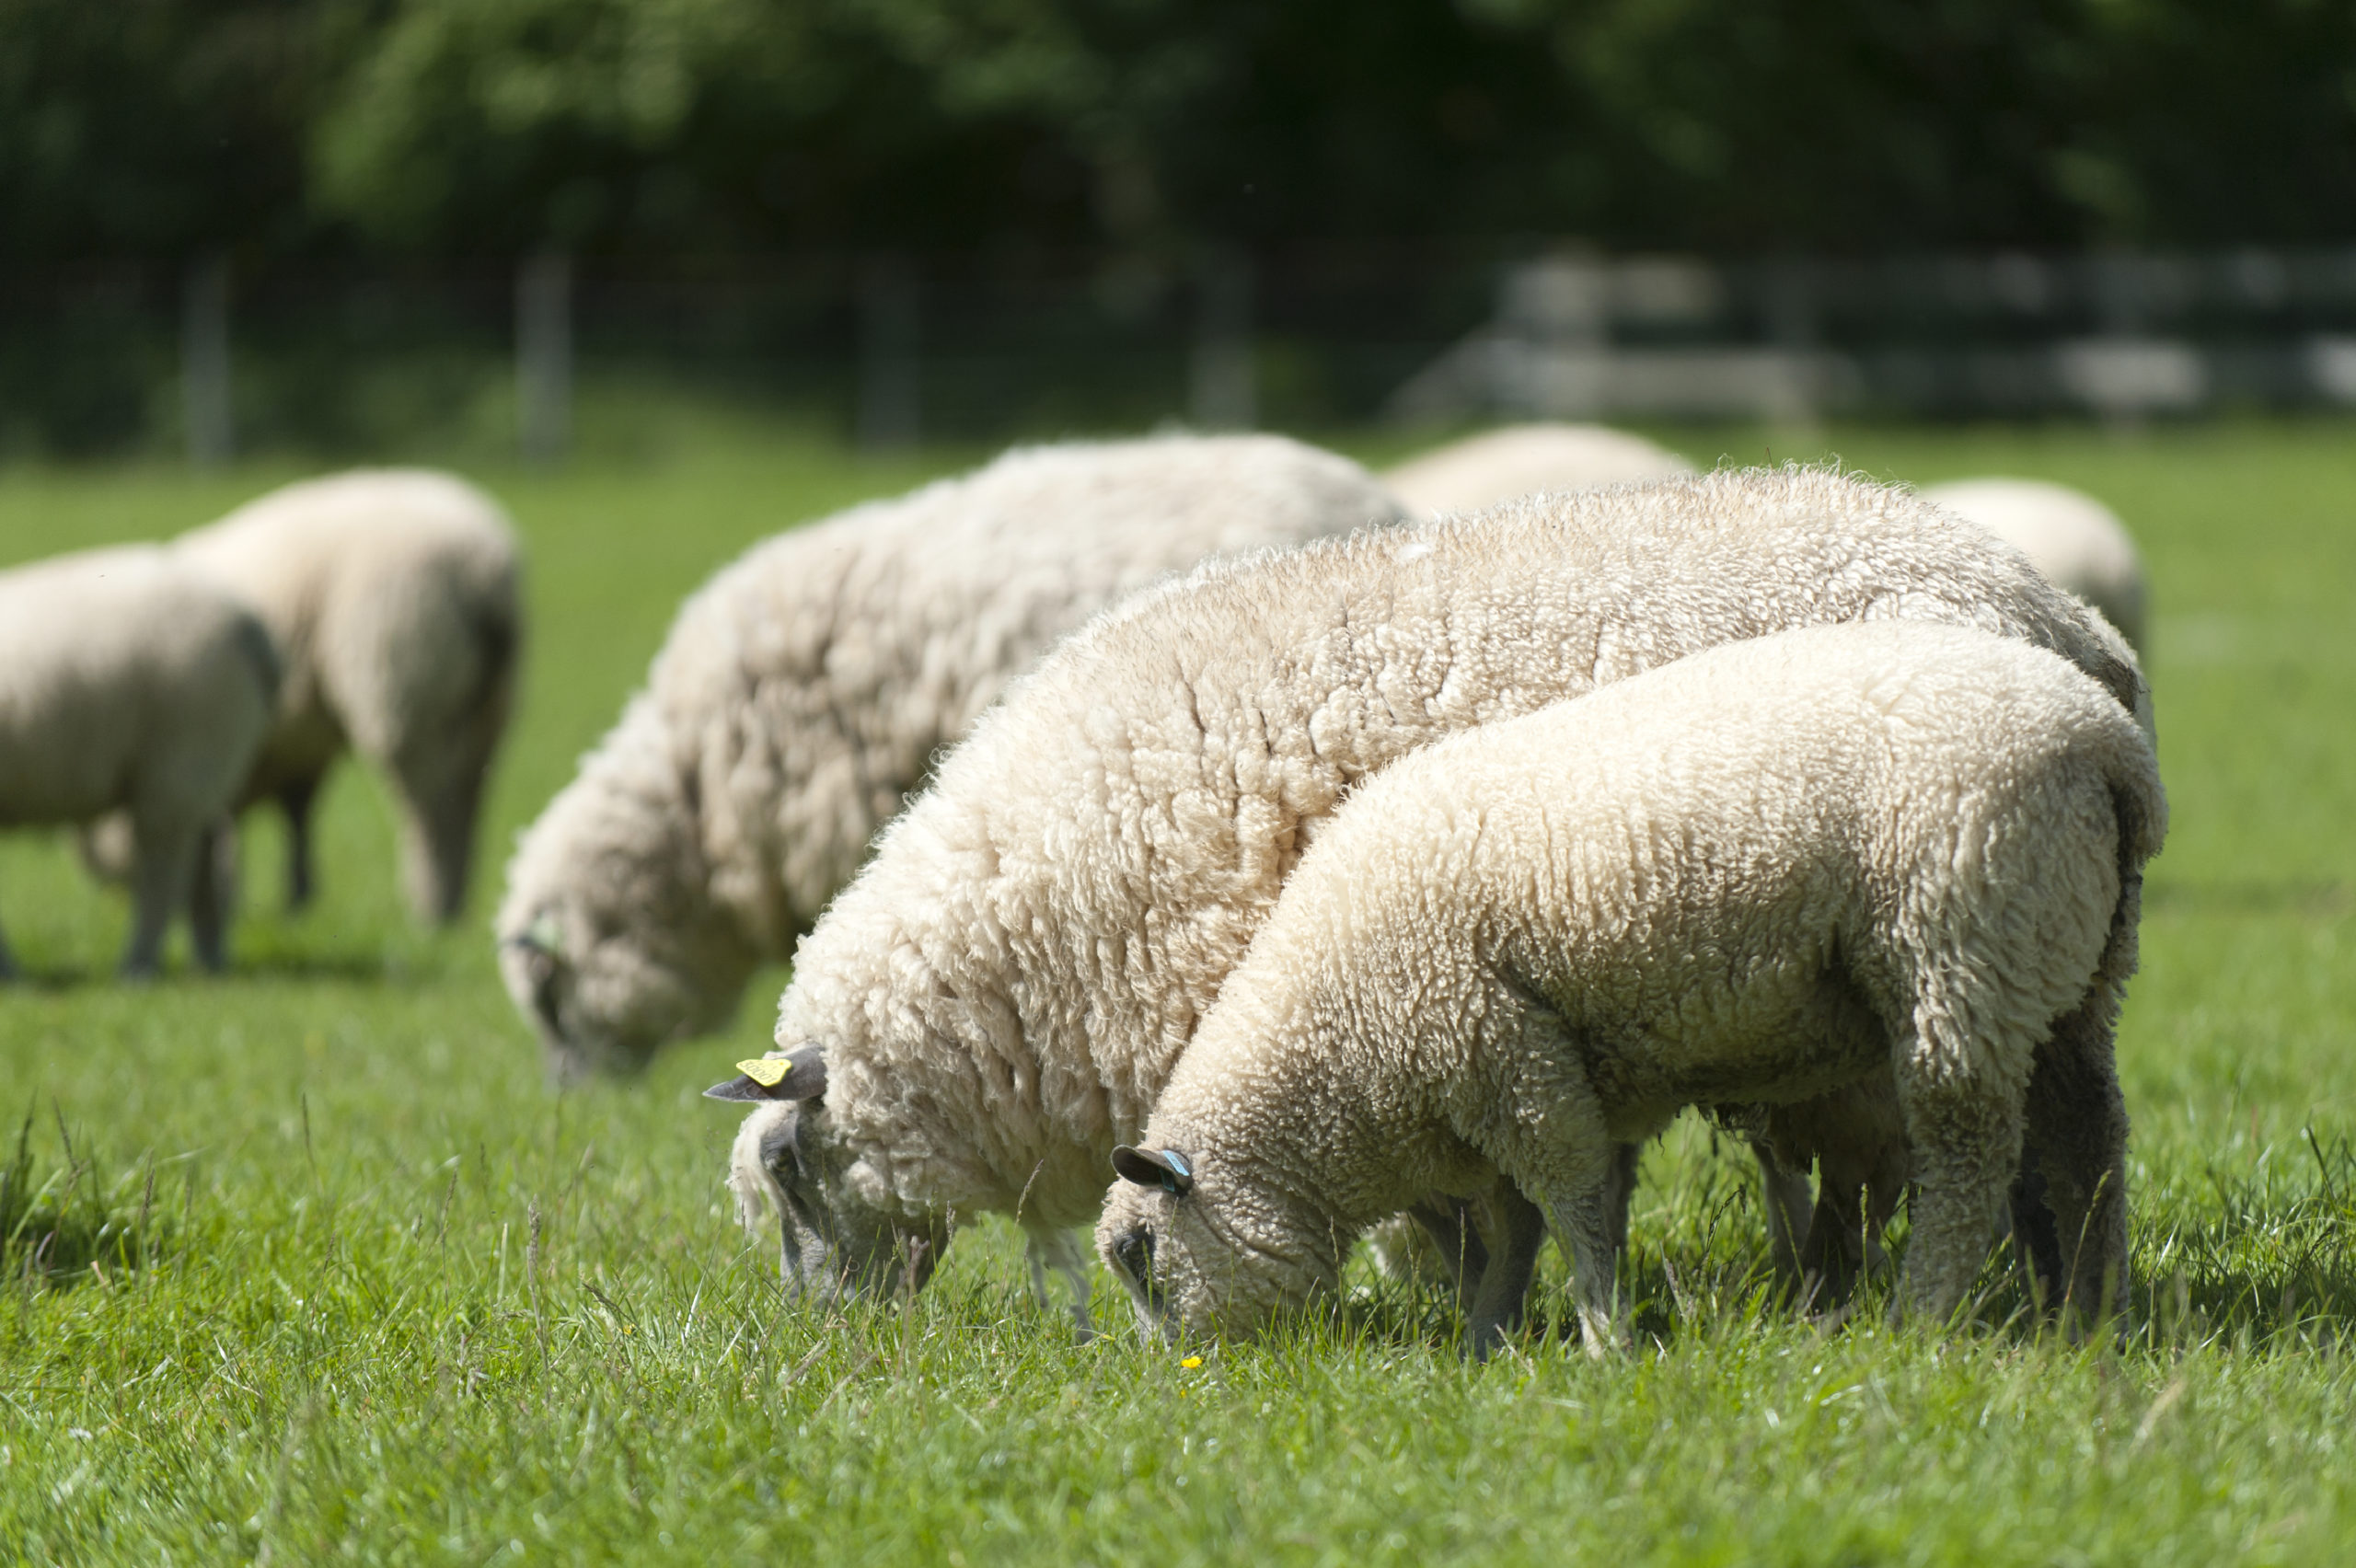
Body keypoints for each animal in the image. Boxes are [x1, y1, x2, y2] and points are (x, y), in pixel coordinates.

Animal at [0, 546, 280, 977]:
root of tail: (247, 625)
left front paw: (10, 974)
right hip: (192, 774)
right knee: (204, 859)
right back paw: (209, 962)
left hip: (179, 762)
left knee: (163, 878)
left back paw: (138, 966)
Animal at [1098, 621, 2165, 1356]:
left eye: (1140, 1259)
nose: (1169, 1381)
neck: (1333, 1053)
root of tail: (2105, 740)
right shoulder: (1534, 1065)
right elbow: (1531, 1221)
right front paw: (1493, 1336)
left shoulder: (1501, 1047)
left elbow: (1568, 1205)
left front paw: (1599, 1338)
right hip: (2067, 967)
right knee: (2088, 1139)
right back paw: (2093, 1320)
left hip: (1957, 948)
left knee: (1966, 1161)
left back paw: (1919, 1320)